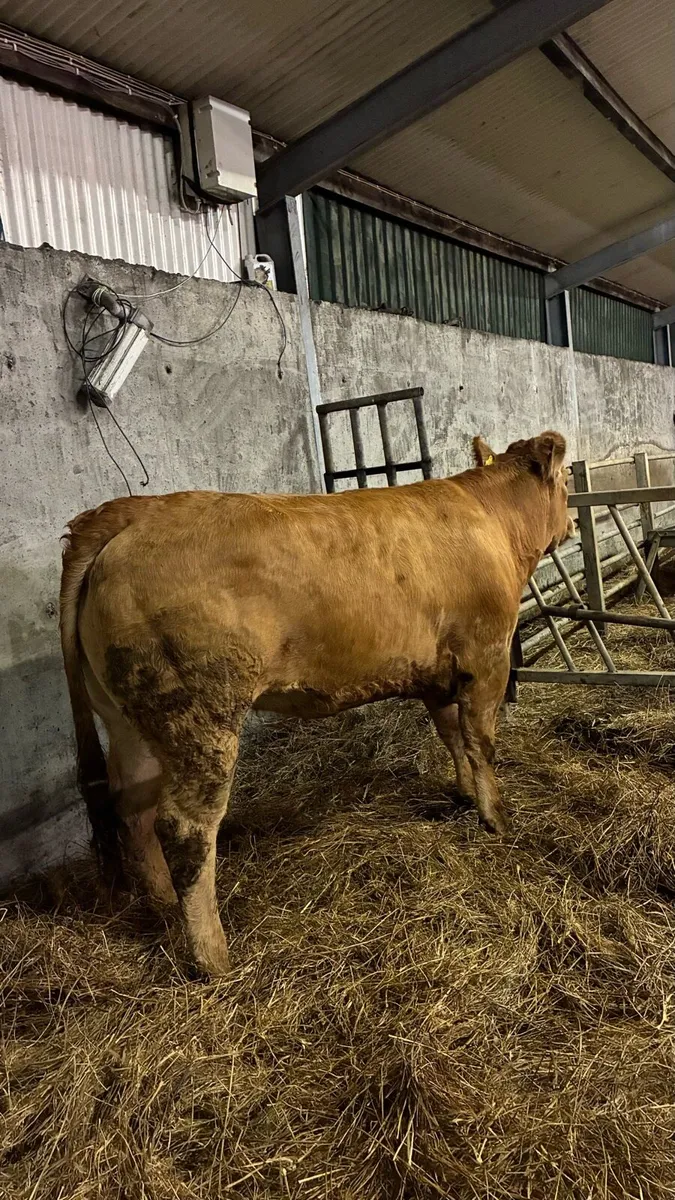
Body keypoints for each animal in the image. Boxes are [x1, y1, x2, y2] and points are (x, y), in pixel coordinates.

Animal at [60, 430, 571, 976]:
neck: (489, 518)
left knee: (132, 806)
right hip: (199, 717)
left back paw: (159, 902)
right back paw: (214, 956)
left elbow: (452, 735)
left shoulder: (437, 672)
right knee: (185, 827)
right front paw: (496, 817)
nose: (570, 523)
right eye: (568, 478)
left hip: (131, 721)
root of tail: (134, 511)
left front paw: (464, 793)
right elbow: (480, 741)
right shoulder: (486, 655)